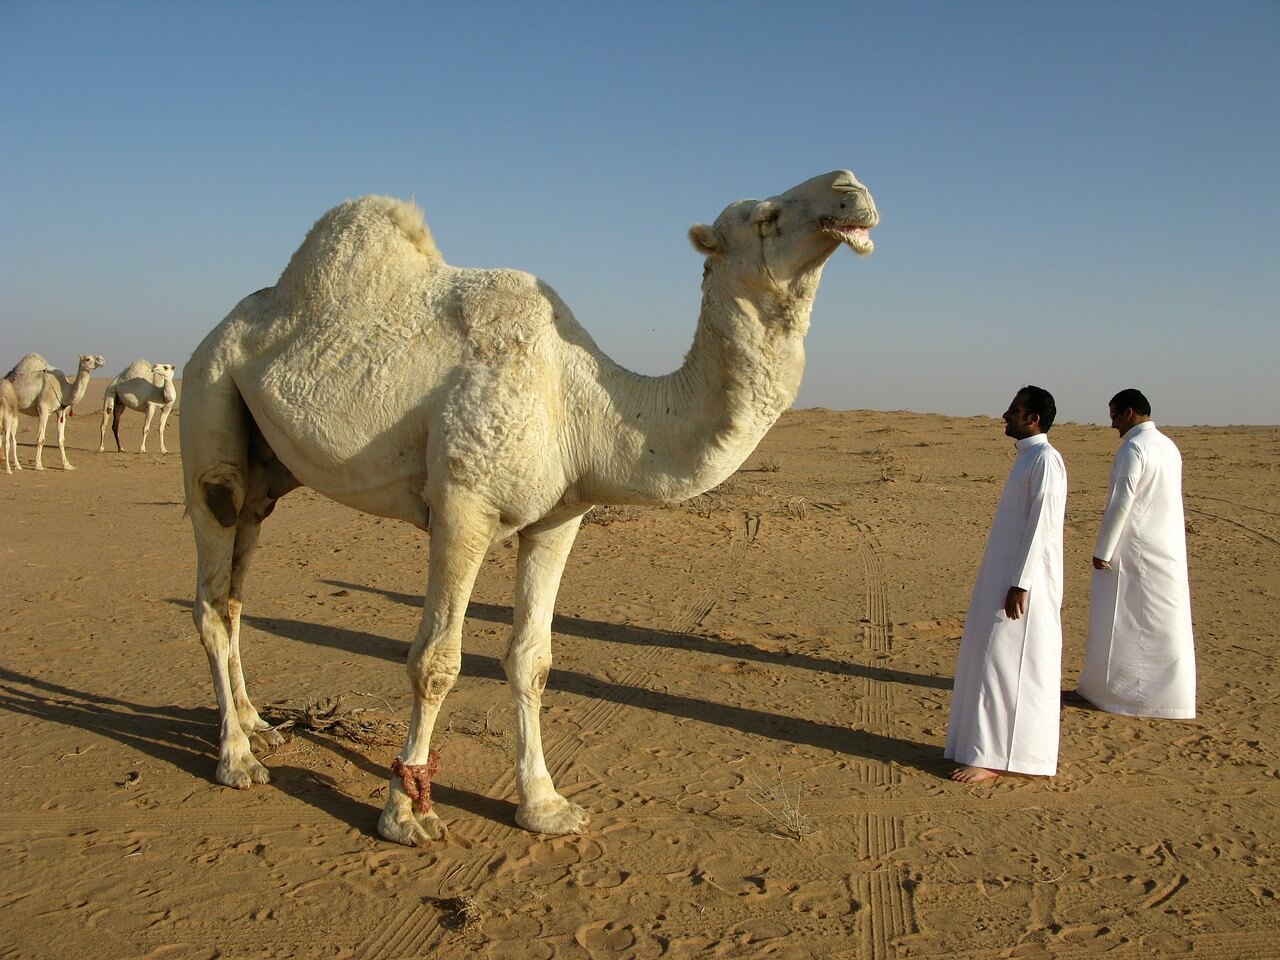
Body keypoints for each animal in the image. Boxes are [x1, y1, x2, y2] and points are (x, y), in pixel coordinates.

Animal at [181, 170, 878, 847]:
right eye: (766, 217)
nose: (851, 189)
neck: (584, 404)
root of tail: (215, 332)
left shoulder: (559, 518)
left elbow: (532, 660)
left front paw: (544, 805)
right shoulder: (462, 507)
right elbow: (435, 662)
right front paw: (406, 814)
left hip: (265, 471)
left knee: (237, 588)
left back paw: (258, 724)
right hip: (208, 399)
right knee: (212, 592)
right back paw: (238, 759)